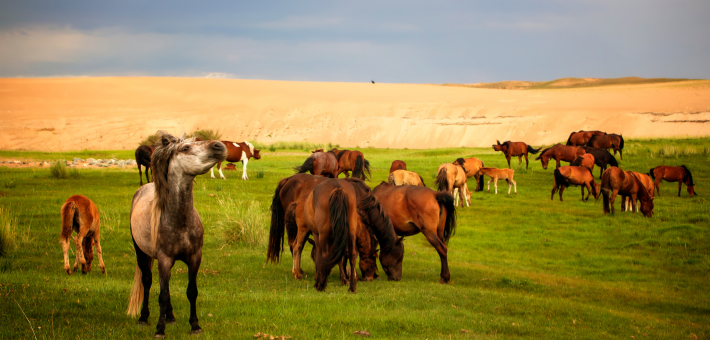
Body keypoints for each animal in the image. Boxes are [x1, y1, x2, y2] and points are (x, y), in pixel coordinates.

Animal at [126, 131, 228, 336]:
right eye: (185, 148)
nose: (219, 146)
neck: (179, 219)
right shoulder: (164, 259)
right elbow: (163, 295)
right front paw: (159, 329)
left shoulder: (195, 258)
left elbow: (191, 291)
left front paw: (195, 326)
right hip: (142, 254)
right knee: (147, 281)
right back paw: (143, 318)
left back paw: (171, 317)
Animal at [268, 173, 406, 282]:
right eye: (398, 258)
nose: (397, 278)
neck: (361, 197)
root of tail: (287, 180)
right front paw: (351, 275)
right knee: (297, 246)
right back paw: (297, 273)